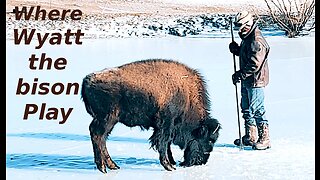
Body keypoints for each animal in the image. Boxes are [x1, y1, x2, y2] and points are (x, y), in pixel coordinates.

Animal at [80, 59, 220, 173]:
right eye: (210, 139)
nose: (201, 161)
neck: (186, 96)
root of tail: (86, 80)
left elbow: (166, 144)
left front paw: (172, 162)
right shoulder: (166, 124)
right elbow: (163, 142)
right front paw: (169, 166)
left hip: (108, 121)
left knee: (103, 138)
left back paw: (113, 166)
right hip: (107, 118)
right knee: (98, 136)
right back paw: (103, 168)